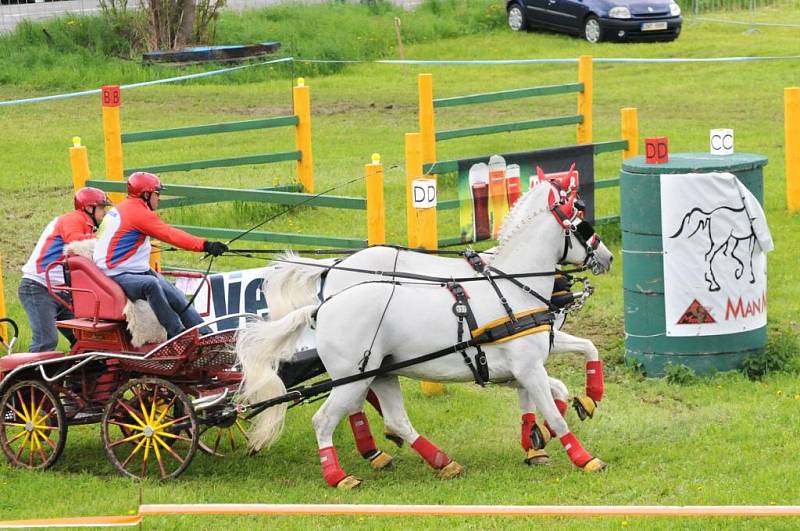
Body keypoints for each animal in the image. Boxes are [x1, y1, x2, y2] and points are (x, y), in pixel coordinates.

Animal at [238, 180, 612, 490]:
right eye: (583, 226)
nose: (607, 258)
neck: (510, 286)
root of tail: (325, 302)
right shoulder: (527, 366)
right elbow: (552, 409)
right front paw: (581, 456)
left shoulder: (529, 360)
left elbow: (579, 360)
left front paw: (570, 413)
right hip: (353, 376)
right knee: (326, 419)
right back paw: (340, 475)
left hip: (380, 372)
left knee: (392, 417)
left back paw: (437, 461)